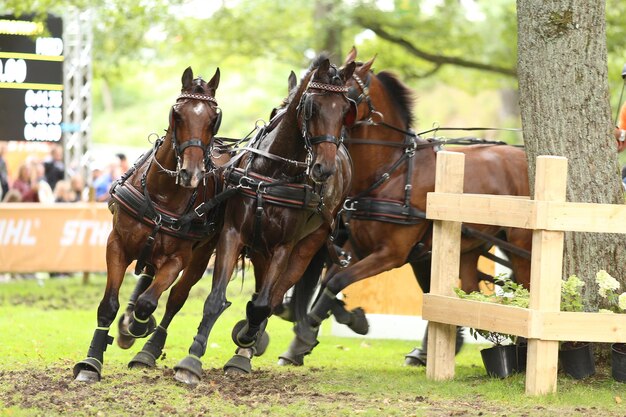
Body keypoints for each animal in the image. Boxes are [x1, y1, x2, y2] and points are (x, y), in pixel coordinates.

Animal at [73, 66, 224, 382]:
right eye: (177, 114)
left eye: (213, 119)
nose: (191, 173)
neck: (162, 193)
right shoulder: (116, 245)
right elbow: (108, 305)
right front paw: (92, 361)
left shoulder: (178, 258)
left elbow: (150, 302)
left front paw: (139, 324)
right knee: (146, 277)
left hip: (202, 254)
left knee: (175, 298)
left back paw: (147, 345)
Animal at [171, 55, 356, 384]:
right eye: (312, 106)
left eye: (346, 110)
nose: (324, 168)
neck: (273, 174)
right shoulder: (233, 234)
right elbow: (216, 298)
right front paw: (192, 359)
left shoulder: (284, 246)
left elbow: (262, 305)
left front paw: (246, 339)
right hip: (259, 249)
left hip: (306, 247)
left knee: (273, 296)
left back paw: (246, 347)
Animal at [278, 48, 532, 366]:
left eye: (348, 101)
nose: (322, 163)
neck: (391, 171)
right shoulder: (356, 248)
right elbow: (330, 283)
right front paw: (323, 330)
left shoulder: (392, 254)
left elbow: (337, 283)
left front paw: (310, 330)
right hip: (469, 247)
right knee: (466, 292)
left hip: (518, 245)